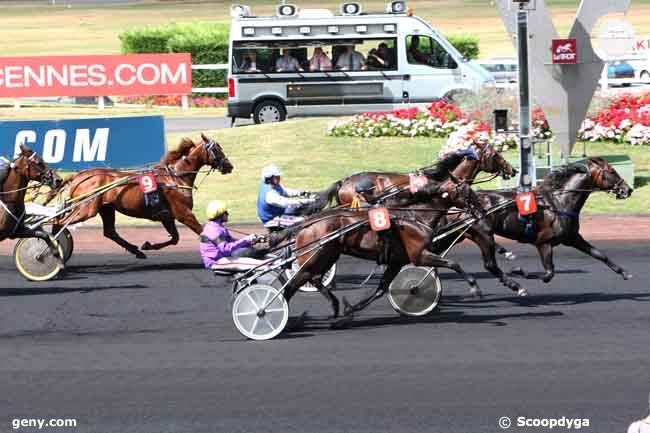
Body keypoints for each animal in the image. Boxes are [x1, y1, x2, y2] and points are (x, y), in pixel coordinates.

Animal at [50, 133, 233, 258]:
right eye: (216, 149)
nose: (229, 166)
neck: (175, 176)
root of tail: (79, 176)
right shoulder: (184, 213)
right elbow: (203, 233)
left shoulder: (167, 216)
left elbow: (175, 238)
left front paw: (147, 246)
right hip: (86, 209)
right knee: (59, 222)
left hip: (106, 208)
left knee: (109, 232)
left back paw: (136, 251)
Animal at [272, 176, 480, 318]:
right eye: (467, 192)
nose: (479, 210)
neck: (415, 216)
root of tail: (306, 224)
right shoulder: (419, 255)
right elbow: (453, 263)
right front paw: (474, 287)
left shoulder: (397, 261)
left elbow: (380, 289)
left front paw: (351, 308)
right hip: (314, 257)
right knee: (294, 284)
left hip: (327, 256)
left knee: (313, 279)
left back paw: (334, 306)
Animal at [454, 157, 632, 286]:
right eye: (612, 171)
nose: (628, 189)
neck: (559, 202)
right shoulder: (544, 243)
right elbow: (548, 274)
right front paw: (519, 271)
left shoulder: (572, 238)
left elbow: (599, 254)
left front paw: (624, 273)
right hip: (483, 235)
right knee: (489, 264)